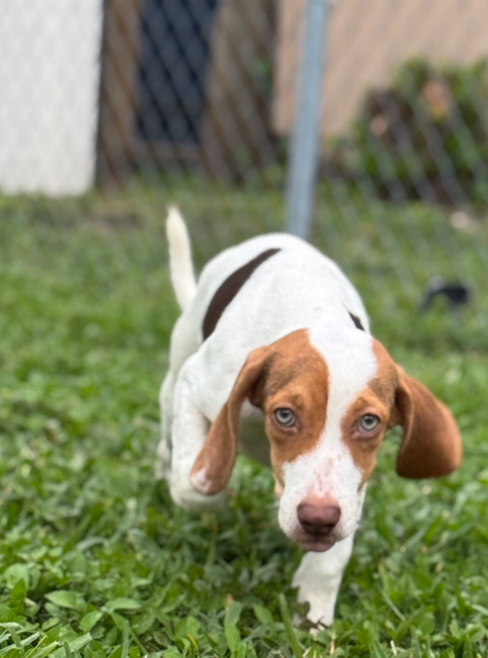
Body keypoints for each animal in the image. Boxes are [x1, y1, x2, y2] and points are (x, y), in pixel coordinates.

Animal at [157, 208, 462, 624]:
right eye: (284, 415)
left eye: (370, 422)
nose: (317, 520)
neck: (315, 316)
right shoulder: (196, 383)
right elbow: (198, 485)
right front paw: (202, 489)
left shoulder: (351, 483)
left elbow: (334, 552)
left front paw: (313, 606)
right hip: (176, 373)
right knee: (168, 434)